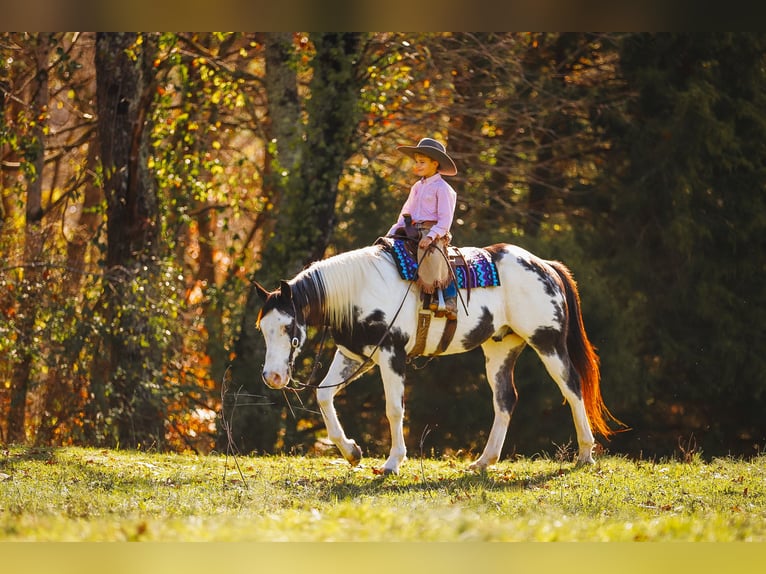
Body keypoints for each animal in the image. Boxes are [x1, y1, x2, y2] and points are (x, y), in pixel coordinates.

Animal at [255, 241, 620, 474]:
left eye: (288, 326)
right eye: (263, 328)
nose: (272, 377)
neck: (359, 291)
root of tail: (546, 266)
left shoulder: (391, 355)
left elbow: (394, 409)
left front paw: (392, 463)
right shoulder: (355, 354)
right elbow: (323, 395)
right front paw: (351, 452)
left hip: (547, 341)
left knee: (572, 387)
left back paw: (585, 454)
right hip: (501, 347)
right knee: (505, 399)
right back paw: (484, 461)